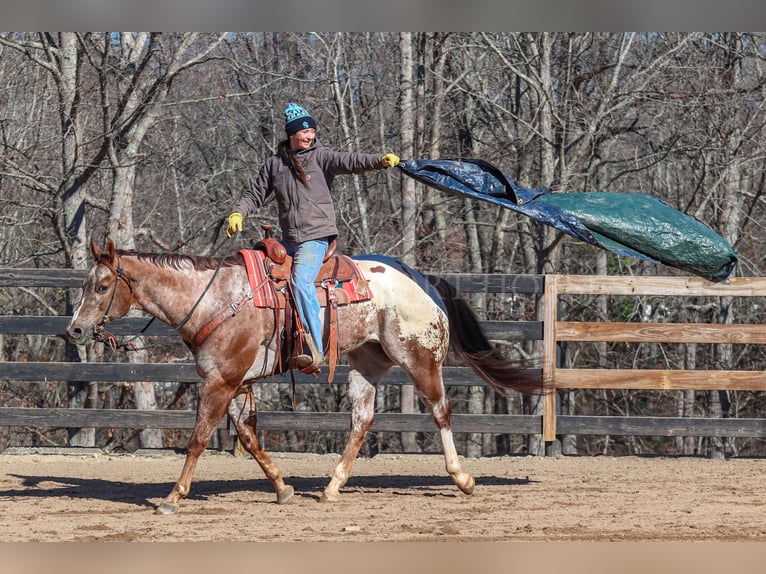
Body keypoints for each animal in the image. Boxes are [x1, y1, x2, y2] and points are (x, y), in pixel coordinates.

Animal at [69, 236, 544, 516]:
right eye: (85, 283)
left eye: (102, 286)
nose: (74, 330)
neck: (214, 299)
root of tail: (423, 280)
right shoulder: (238, 383)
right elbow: (249, 437)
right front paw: (282, 487)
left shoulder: (220, 381)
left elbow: (198, 439)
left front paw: (172, 497)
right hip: (367, 363)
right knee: (361, 420)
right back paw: (332, 487)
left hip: (420, 357)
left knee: (440, 410)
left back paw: (462, 478)